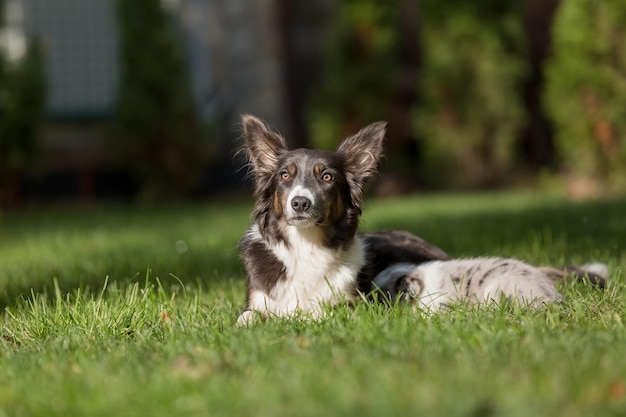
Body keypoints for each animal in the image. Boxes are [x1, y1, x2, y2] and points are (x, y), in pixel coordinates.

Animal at [234, 115, 604, 324]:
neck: (306, 248)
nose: (300, 202)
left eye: (326, 177)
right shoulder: (257, 303)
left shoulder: (348, 305)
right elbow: (247, 318)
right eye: (285, 175)